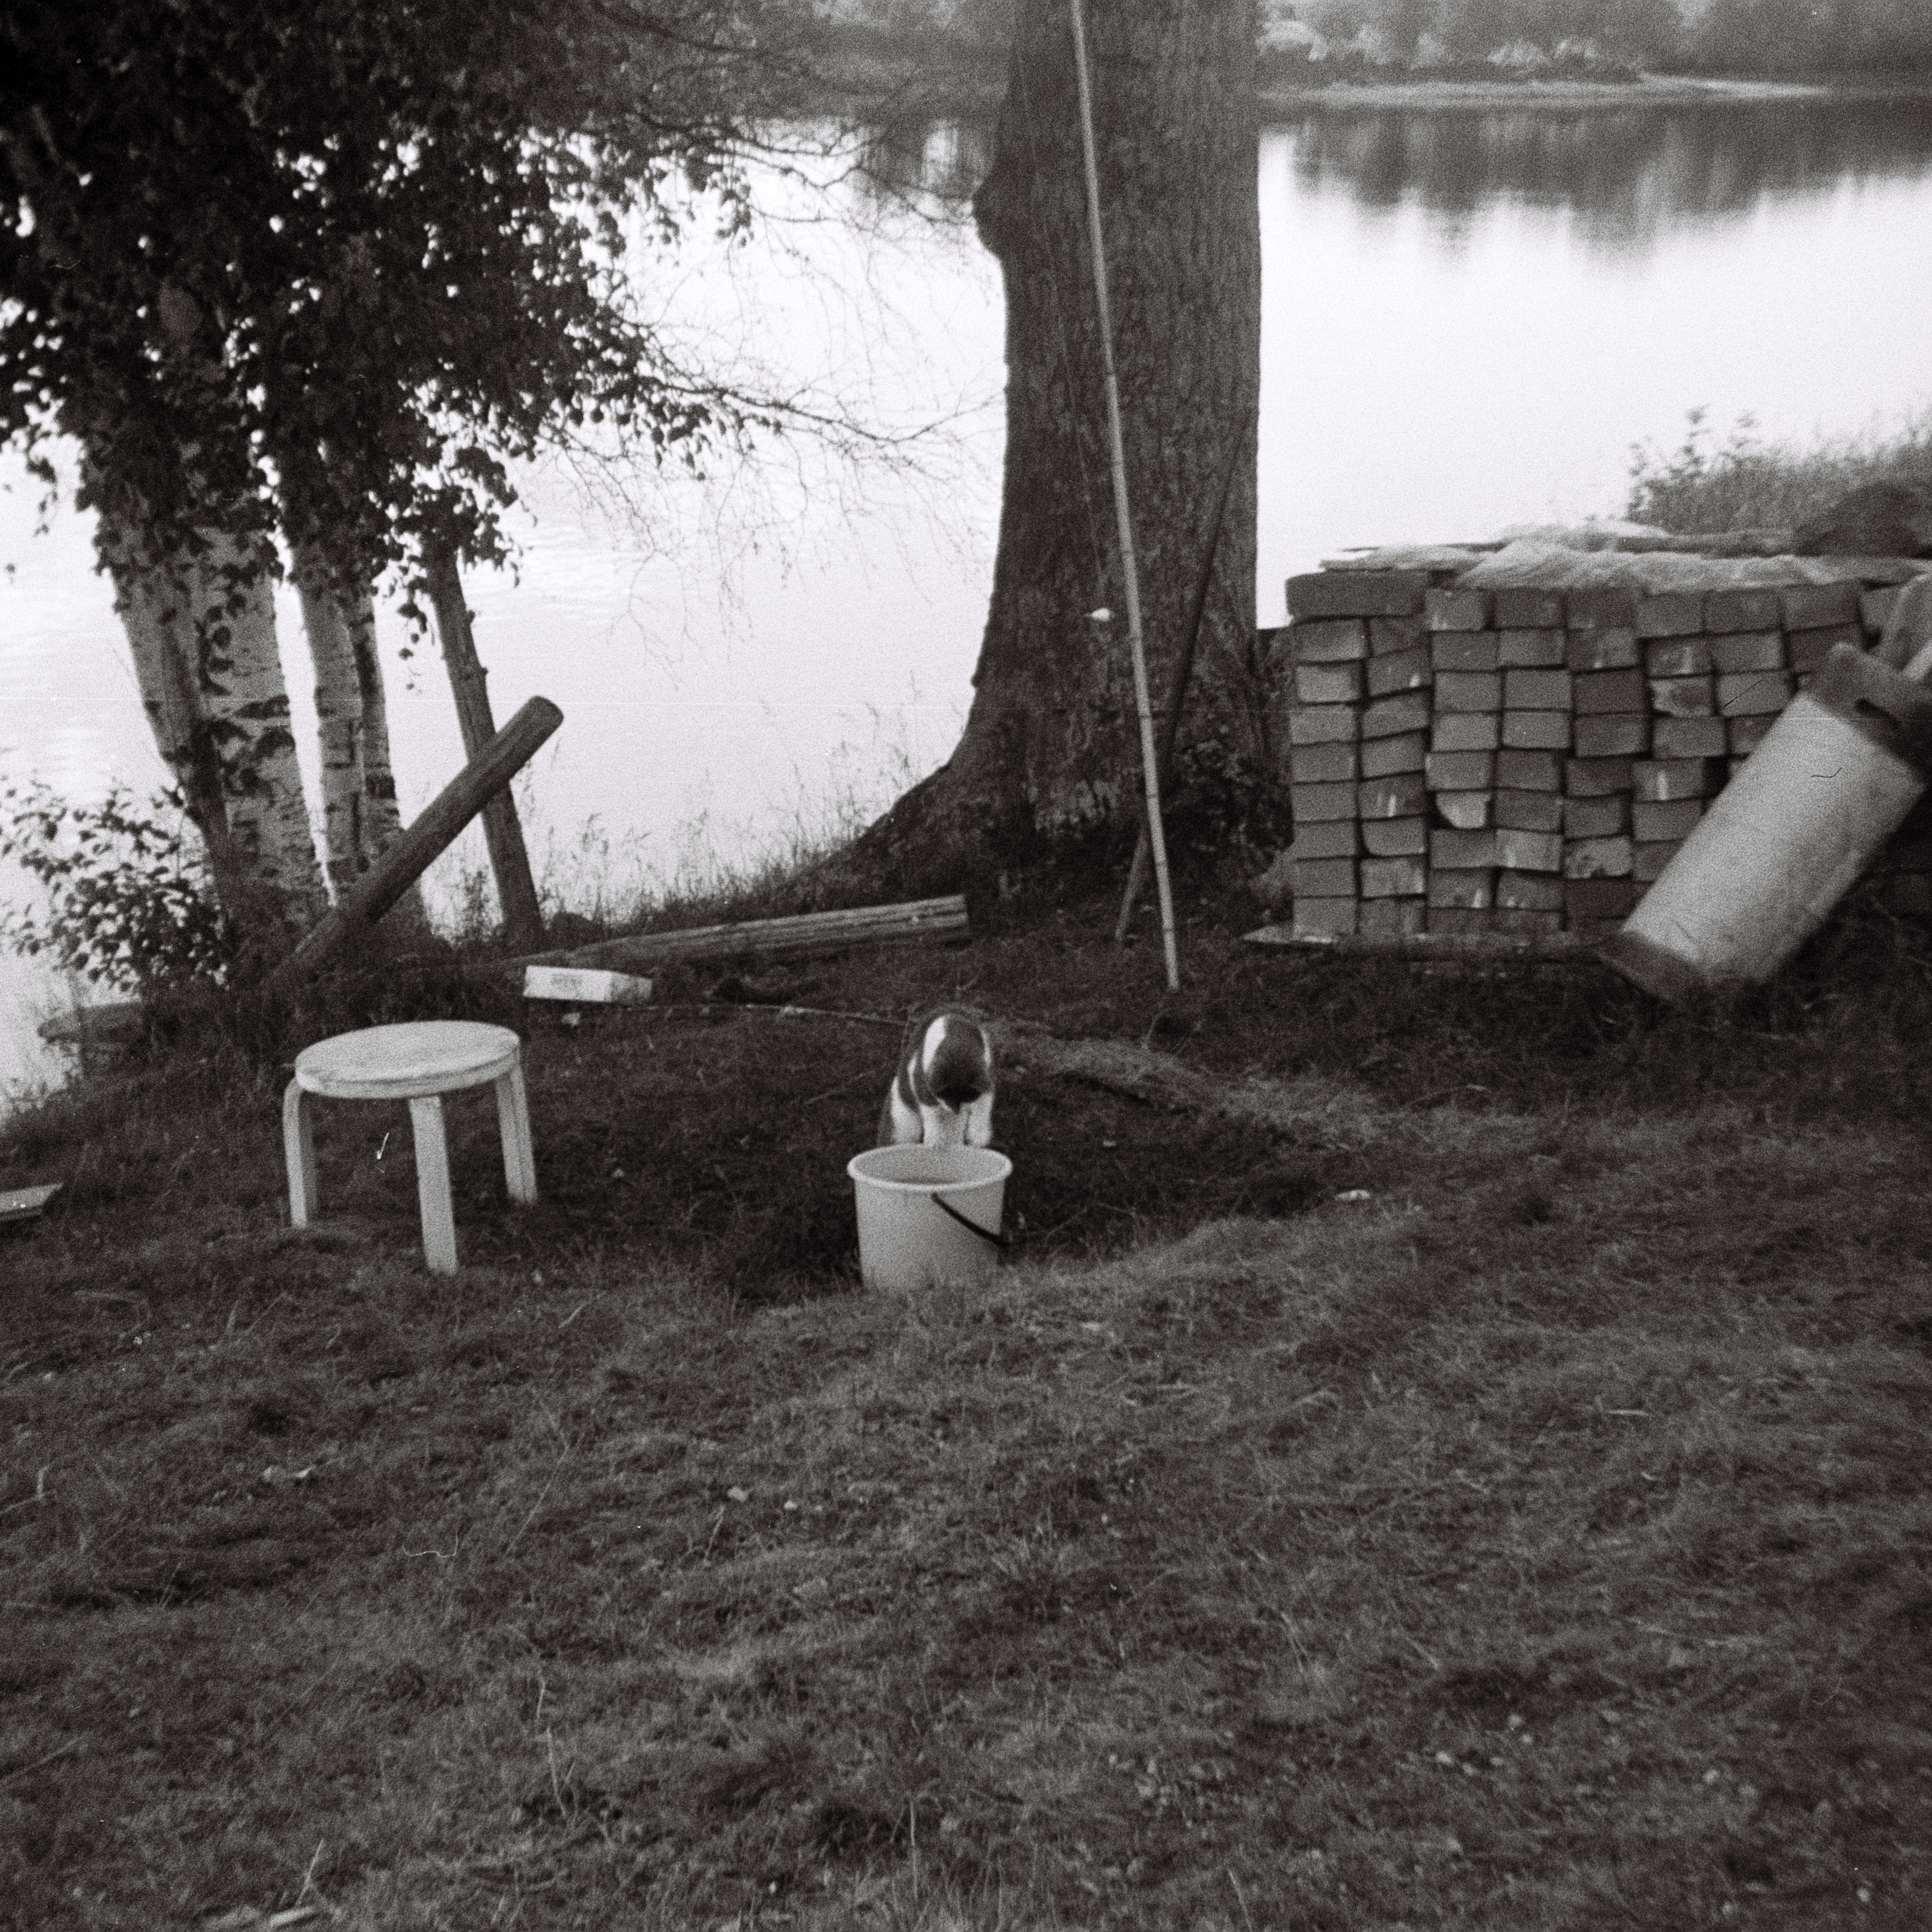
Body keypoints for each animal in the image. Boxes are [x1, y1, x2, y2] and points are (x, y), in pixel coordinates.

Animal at [880, 1012, 996, 1144]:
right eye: (946, 1095)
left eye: (967, 1097)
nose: (956, 1110)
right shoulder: (922, 1081)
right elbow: (931, 1112)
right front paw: (934, 1141)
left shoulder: (988, 1075)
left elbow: (984, 1105)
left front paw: (978, 1137)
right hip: (901, 1118)